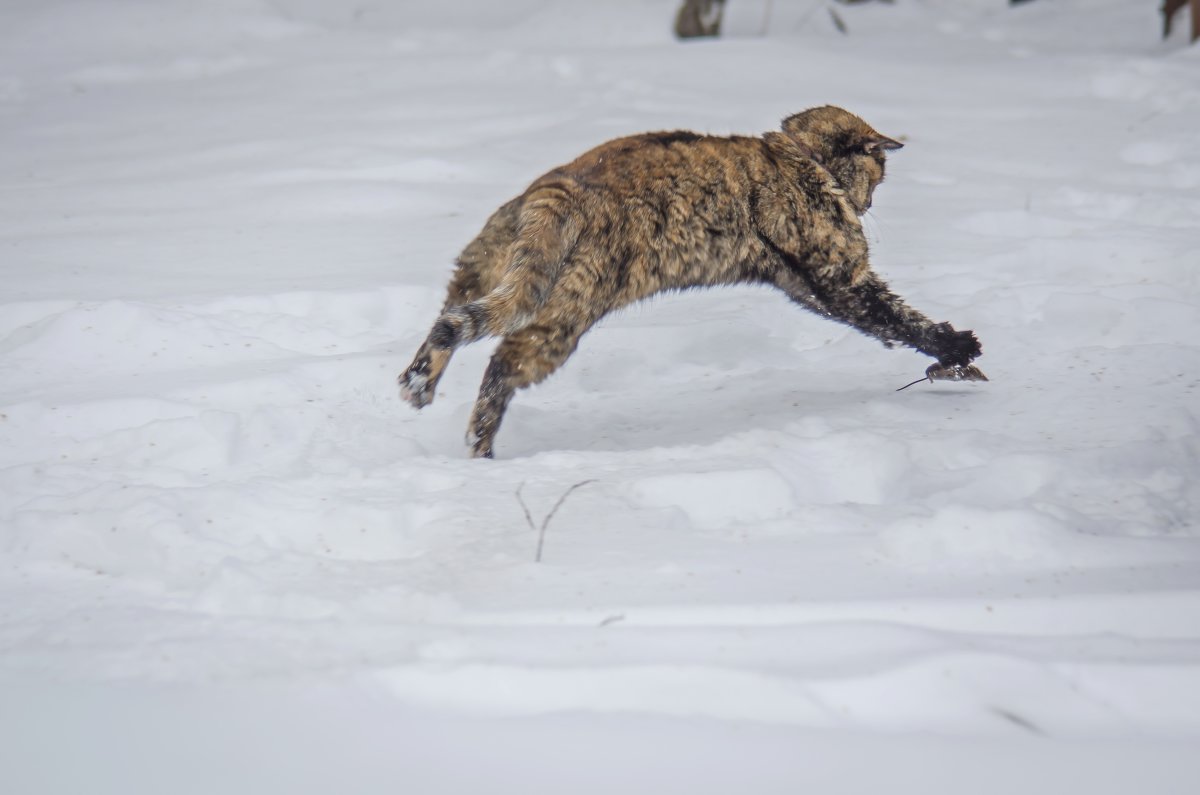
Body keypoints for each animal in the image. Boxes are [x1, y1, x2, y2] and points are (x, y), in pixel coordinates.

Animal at [398, 102, 979, 458]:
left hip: (485, 274)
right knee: (499, 363)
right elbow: (898, 316)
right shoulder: (838, 274)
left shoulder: (804, 284)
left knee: (448, 323)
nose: (871, 203)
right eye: (878, 172)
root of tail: (556, 187)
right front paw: (956, 346)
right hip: (561, 317)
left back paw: (419, 384)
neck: (797, 158)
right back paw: (479, 446)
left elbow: (882, 320)